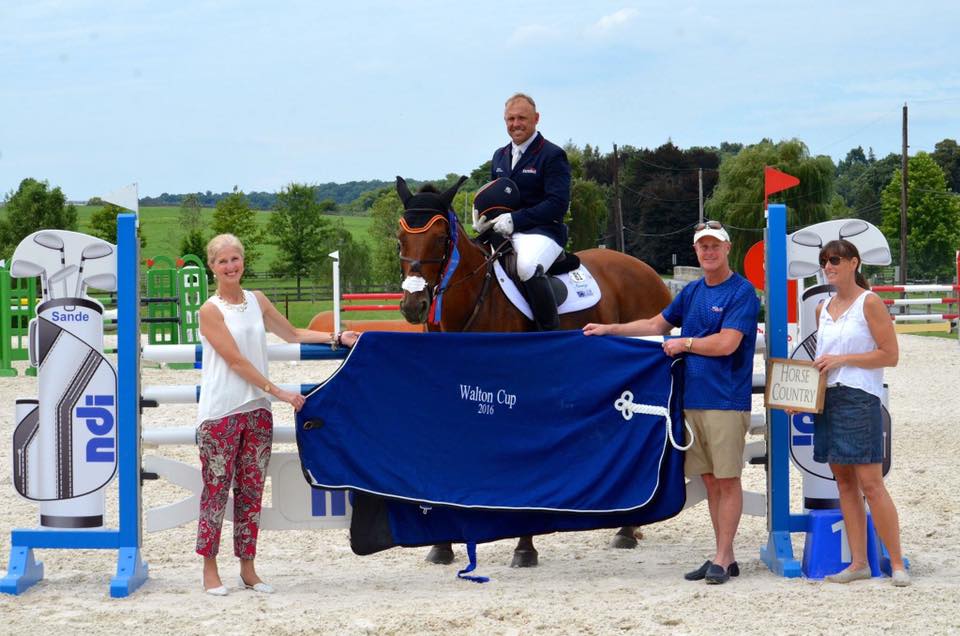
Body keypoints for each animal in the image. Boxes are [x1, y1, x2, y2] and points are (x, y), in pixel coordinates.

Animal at [395, 176, 673, 567]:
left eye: (439, 239)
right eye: (400, 239)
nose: (413, 305)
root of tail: (647, 271)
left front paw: (524, 547)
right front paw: (442, 546)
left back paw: (627, 529)